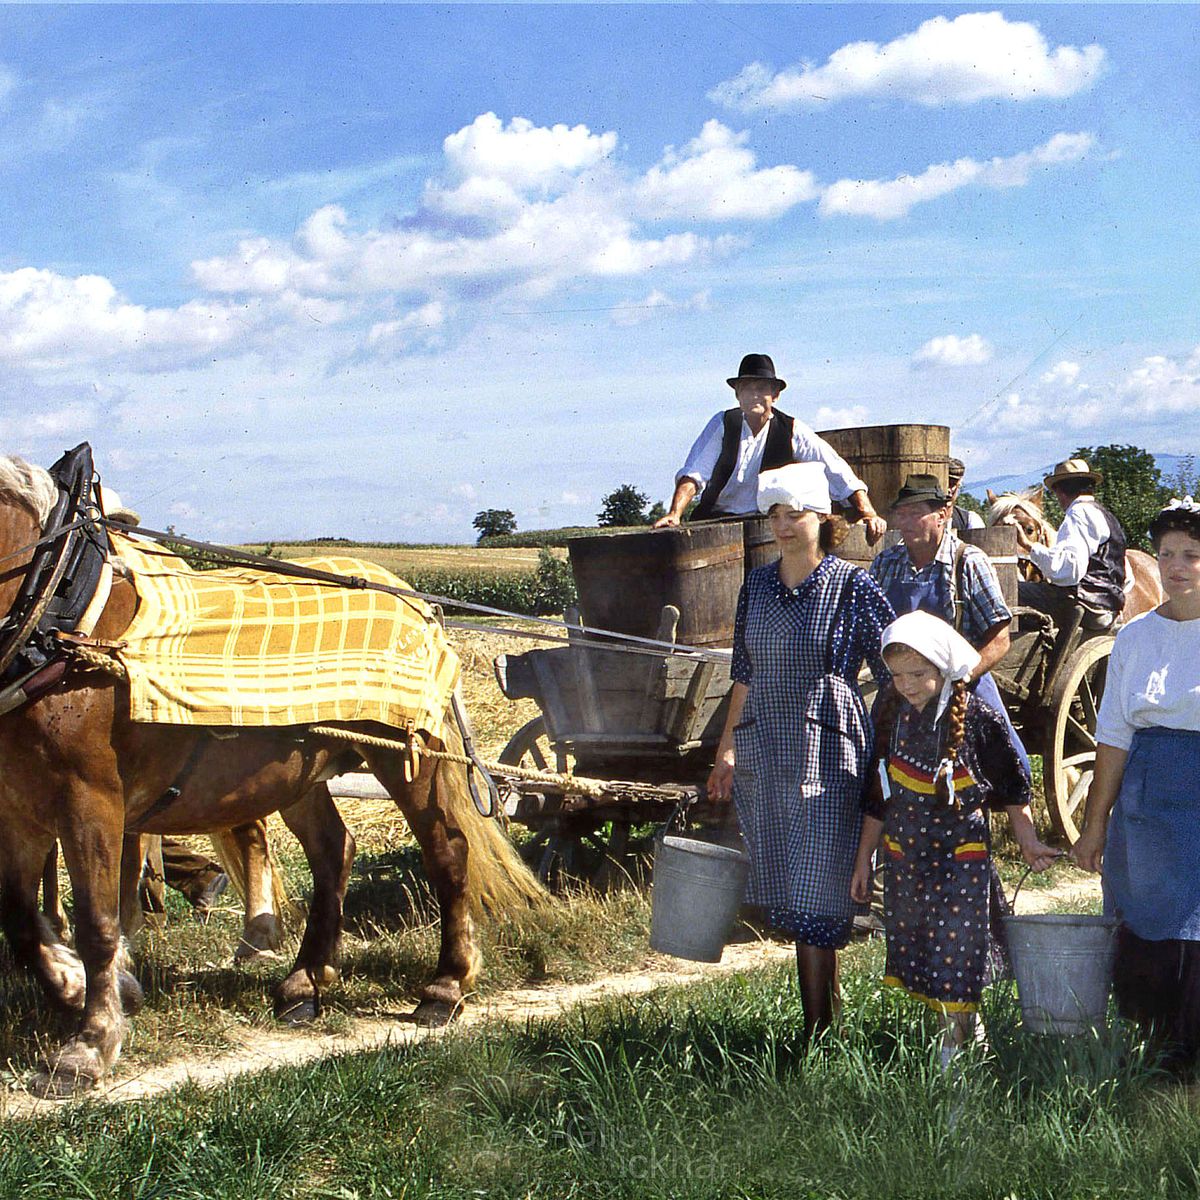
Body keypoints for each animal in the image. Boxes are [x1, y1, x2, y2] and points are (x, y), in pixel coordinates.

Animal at [0, 458, 544, 1099]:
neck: (61, 613)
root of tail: (414, 600)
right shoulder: (19, 807)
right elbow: (21, 917)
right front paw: (77, 986)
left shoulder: (90, 800)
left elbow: (97, 922)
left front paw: (87, 1046)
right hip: (301, 772)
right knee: (334, 850)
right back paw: (304, 984)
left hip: (409, 760)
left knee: (447, 850)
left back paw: (445, 987)